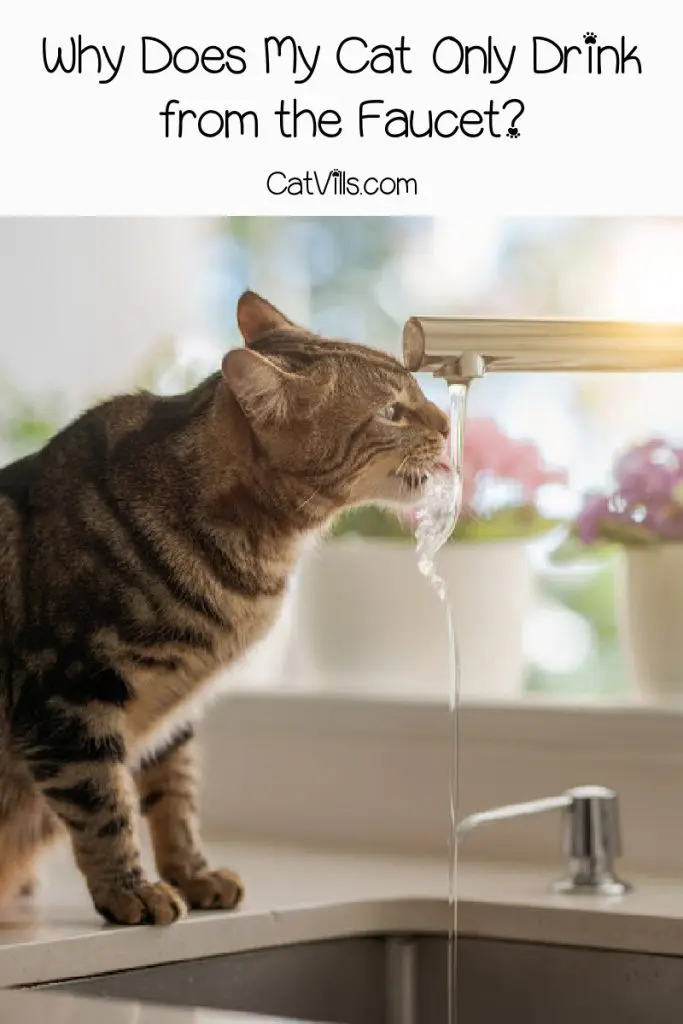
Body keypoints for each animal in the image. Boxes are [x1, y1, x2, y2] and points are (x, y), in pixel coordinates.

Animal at [0, 290, 450, 929]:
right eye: (393, 411)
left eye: (419, 395)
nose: (448, 423)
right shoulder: (68, 696)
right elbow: (104, 804)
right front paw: (129, 888)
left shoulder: (173, 714)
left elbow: (175, 799)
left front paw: (193, 874)